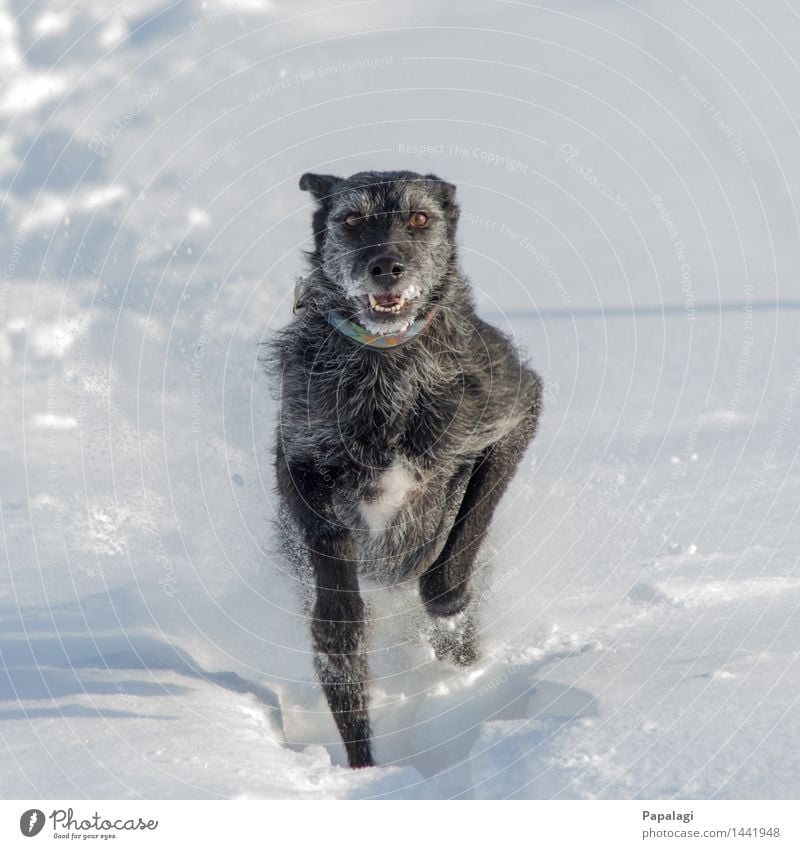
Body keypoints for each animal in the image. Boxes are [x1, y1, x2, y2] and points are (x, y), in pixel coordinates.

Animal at [270, 169, 544, 764]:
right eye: (352, 219)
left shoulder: (516, 414)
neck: (387, 361)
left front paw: (449, 614)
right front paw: (339, 626)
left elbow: (457, 549)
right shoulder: (298, 457)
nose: (387, 265)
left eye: (419, 218)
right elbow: (334, 599)